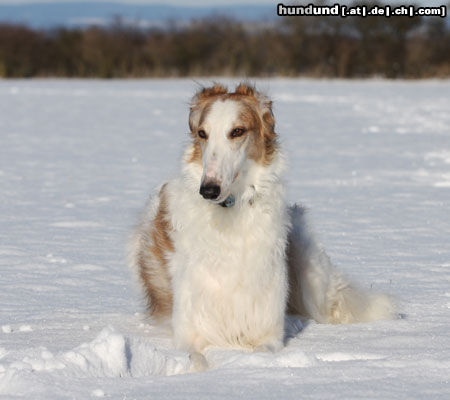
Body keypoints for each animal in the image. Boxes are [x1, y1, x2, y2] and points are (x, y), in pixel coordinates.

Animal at [128, 82, 396, 360]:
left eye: (237, 131)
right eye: (202, 133)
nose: (209, 190)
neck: (231, 214)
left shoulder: (269, 335)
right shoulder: (188, 333)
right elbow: (196, 358)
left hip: (311, 274)